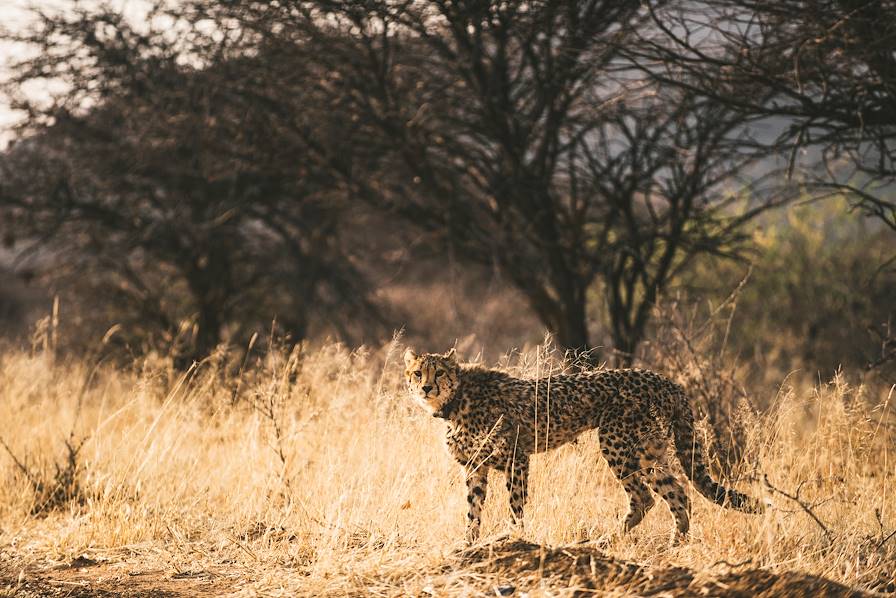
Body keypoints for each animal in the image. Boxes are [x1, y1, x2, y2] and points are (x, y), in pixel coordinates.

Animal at [406, 350, 764, 548]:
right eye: (417, 372)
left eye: (440, 372)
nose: (426, 387)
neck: (455, 400)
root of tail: (665, 379)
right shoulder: (475, 468)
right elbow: (473, 510)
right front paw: (468, 544)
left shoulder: (516, 458)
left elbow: (515, 505)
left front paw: (512, 537)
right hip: (649, 451)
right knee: (677, 492)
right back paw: (675, 544)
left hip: (617, 443)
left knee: (644, 497)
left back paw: (608, 540)